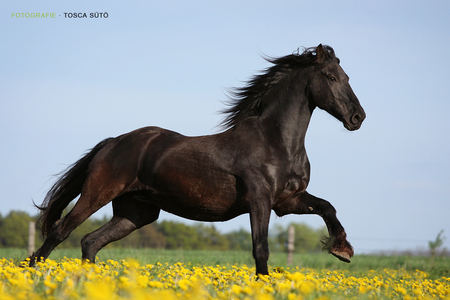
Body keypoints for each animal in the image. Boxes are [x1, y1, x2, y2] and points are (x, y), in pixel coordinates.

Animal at [29, 43, 366, 276]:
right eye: (330, 77)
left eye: (347, 76)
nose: (357, 117)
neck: (276, 142)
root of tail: (112, 143)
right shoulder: (260, 200)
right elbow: (261, 248)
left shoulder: (287, 201)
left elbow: (328, 207)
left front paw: (342, 250)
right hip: (96, 194)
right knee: (60, 232)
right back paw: (33, 274)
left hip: (136, 213)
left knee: (90, 242)